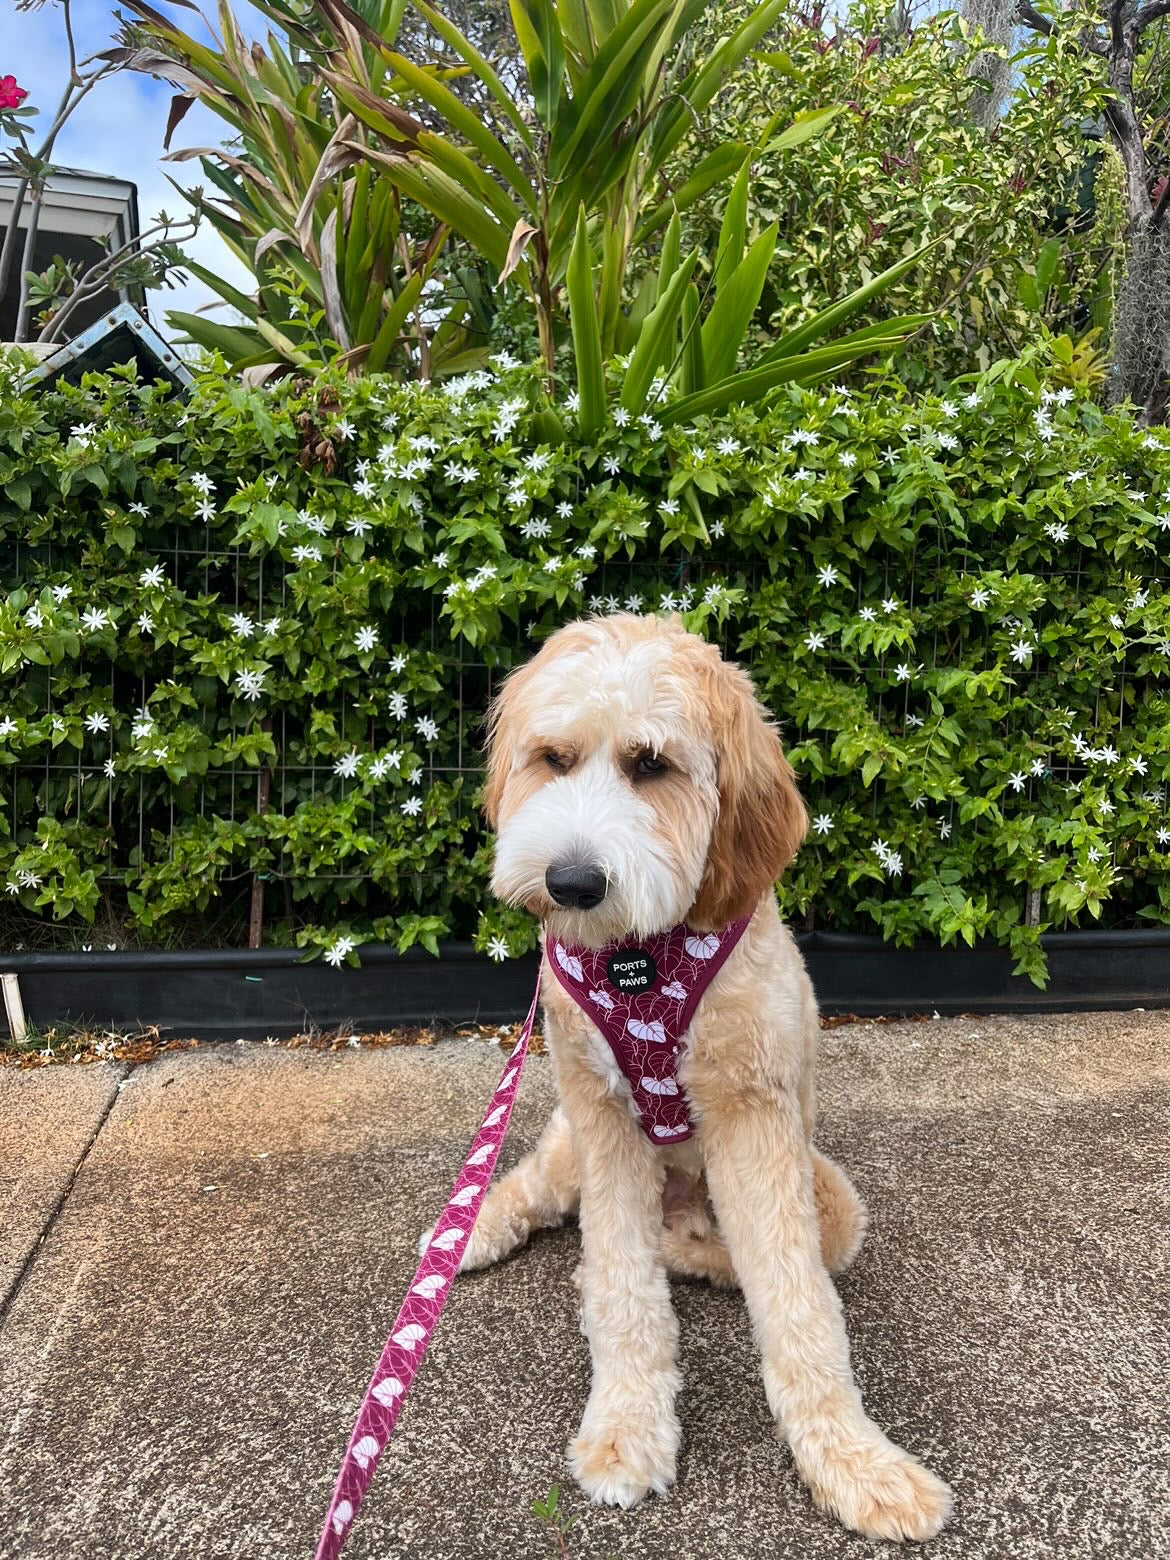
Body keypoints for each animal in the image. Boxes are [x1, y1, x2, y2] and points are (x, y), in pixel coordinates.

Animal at [443, 608, 948, 1535]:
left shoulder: (754, 1115)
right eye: (554, 759)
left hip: (830, 1196)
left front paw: (854, 1462)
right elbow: (621, 1284)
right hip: (569, 1143)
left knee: (750, 1252)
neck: (642, 958)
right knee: (535, 1188)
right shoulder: (600, 1113)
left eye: (652, 765)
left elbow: (796, 1300)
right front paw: (626, 1427)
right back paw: (471, 1230)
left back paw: (678, 1246)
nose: (571, 882)